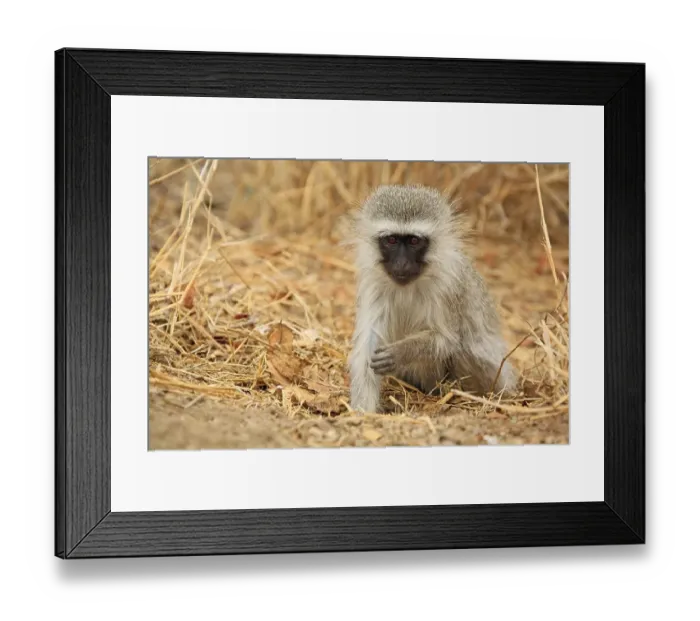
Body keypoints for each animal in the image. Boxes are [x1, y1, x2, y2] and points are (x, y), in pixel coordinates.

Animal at [348, 184, 519, 413]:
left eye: (414, 241)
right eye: (391, 240)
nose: (401, 263)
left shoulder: (447, 288)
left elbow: (447, 339)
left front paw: (401, 351)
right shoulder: (374, 286)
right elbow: (366, 348)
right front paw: (362, 413)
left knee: (467, 348)